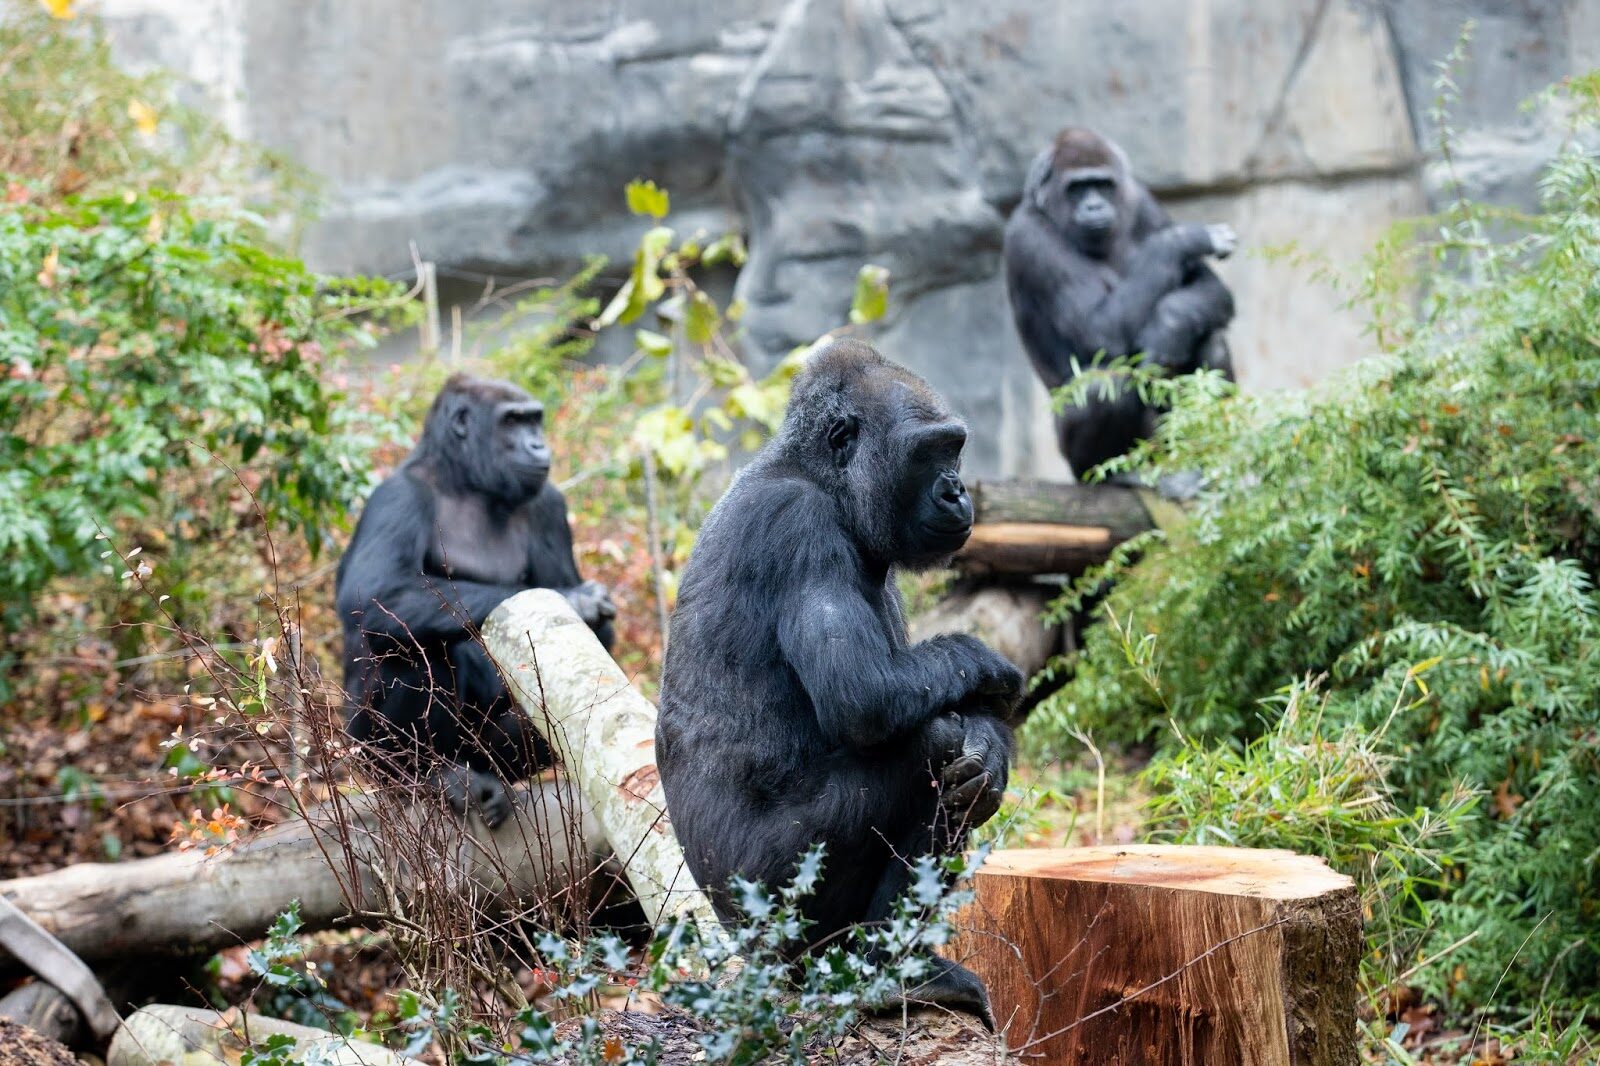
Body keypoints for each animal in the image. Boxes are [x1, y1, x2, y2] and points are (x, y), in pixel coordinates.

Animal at [334, 372, 614, 832]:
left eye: (534, 420)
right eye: (512, 421)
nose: (538, 444)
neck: (464, 480)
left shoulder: (549, 504)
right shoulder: (398, 495)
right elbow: (376, 594)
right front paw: (575, 599)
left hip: (486, 755)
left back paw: (487, 779)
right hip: (361, 754)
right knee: (407, 646)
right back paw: (431, 777)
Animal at [652, 337, 1017, 1024]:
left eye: (954, 447)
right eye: (930, 453)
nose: (957, 491)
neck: (819, 475)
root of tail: (749, 956)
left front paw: (991, 756)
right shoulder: (800, 525)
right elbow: (865, 697)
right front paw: (983, 667)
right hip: (772, 914)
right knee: (928, 743)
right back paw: (885, 969)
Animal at [1004, 126, 1241, 480]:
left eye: (1103, 185)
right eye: (1077, 189)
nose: (1094, 207)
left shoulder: (1141, 201)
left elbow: (1210, 287)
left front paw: (1169, 326)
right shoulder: (1028, 236)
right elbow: (1099, 333)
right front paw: (1184, 238)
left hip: (1166, 448)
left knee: (1211, 342)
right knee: (1104, 386)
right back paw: (1115, 474)